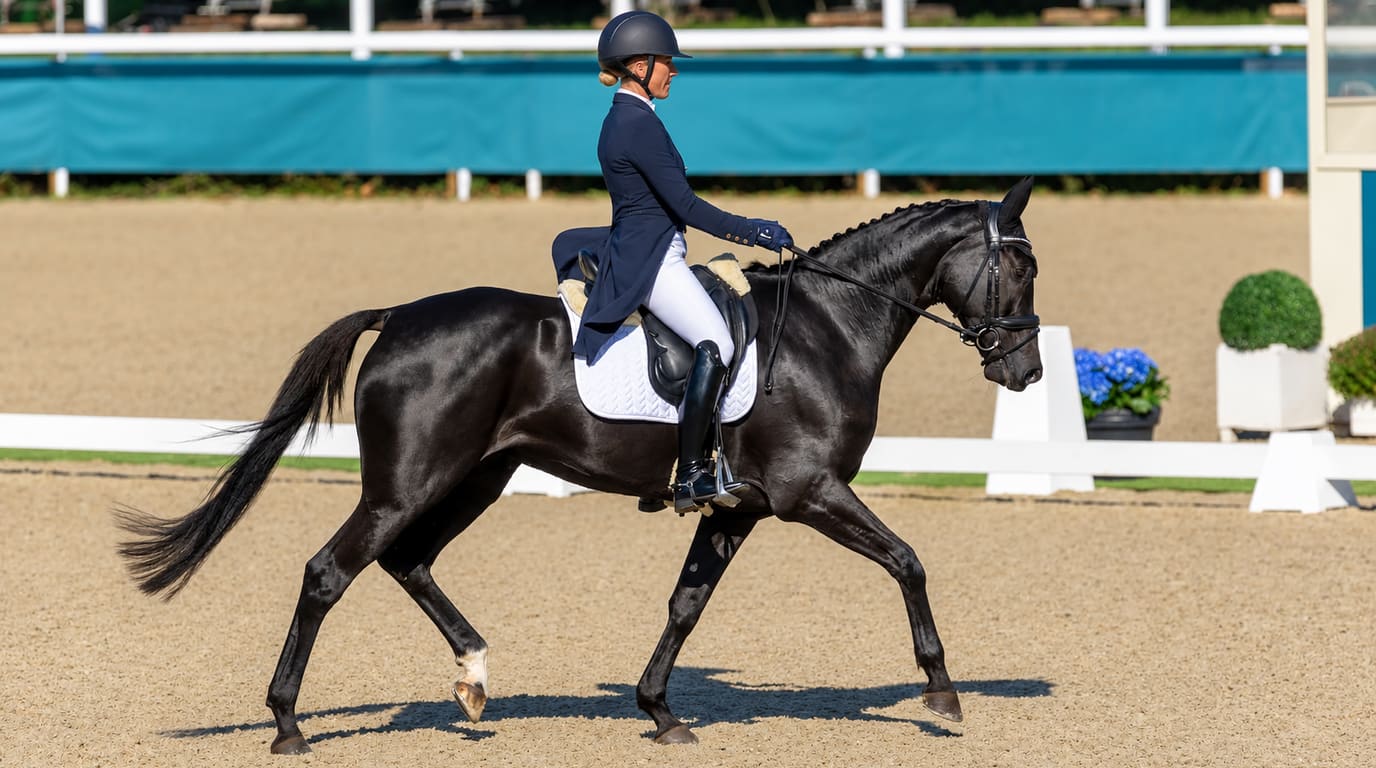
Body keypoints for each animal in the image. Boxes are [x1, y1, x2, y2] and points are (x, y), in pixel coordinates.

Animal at [117, 177, 1043, 754]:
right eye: (1022, 267)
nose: (1027, 372)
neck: (829, 327)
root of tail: (402, 316)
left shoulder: (738, 506)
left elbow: (686, 604)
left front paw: (661, 712)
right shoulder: (809, 492)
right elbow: (908, 562)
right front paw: (942, 693)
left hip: (476, 477)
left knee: (407, 560)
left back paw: (475, 677)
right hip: (408, 482)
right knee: (328, 572)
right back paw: (287, 724)